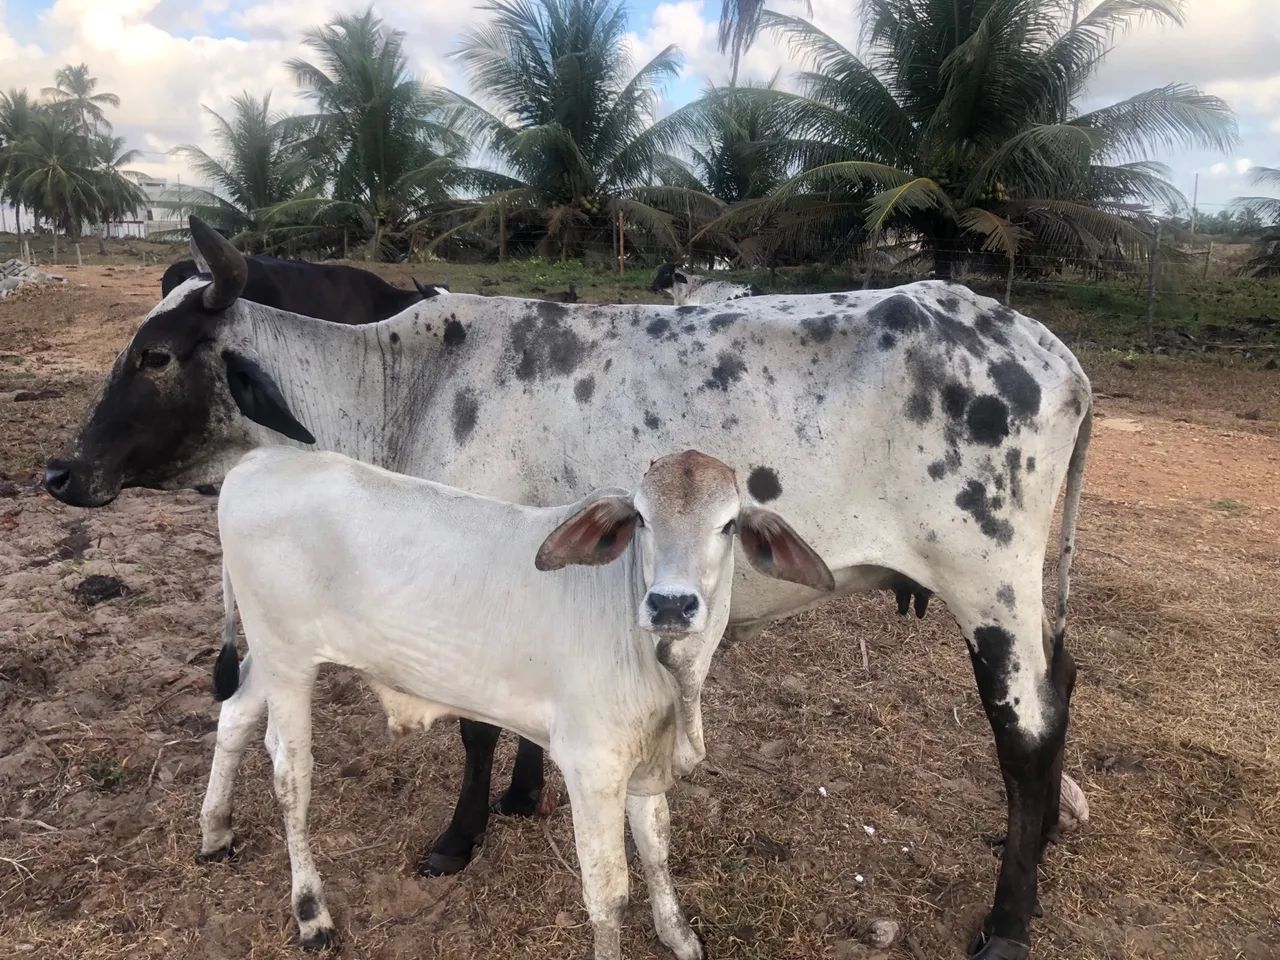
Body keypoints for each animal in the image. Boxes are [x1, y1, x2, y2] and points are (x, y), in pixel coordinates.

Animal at [205, 447, 832, 955]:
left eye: (728, 524)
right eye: (642, 518)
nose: (671, 605)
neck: (670, 679)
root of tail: (258, 460)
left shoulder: (642, 762)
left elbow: (656, 845)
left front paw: (678, 936)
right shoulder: (591, 767)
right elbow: (608, 894)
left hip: (271, 657)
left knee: (233, 713)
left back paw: (215, 833)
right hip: (288, 661)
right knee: (291, 774)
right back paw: (312, 915)